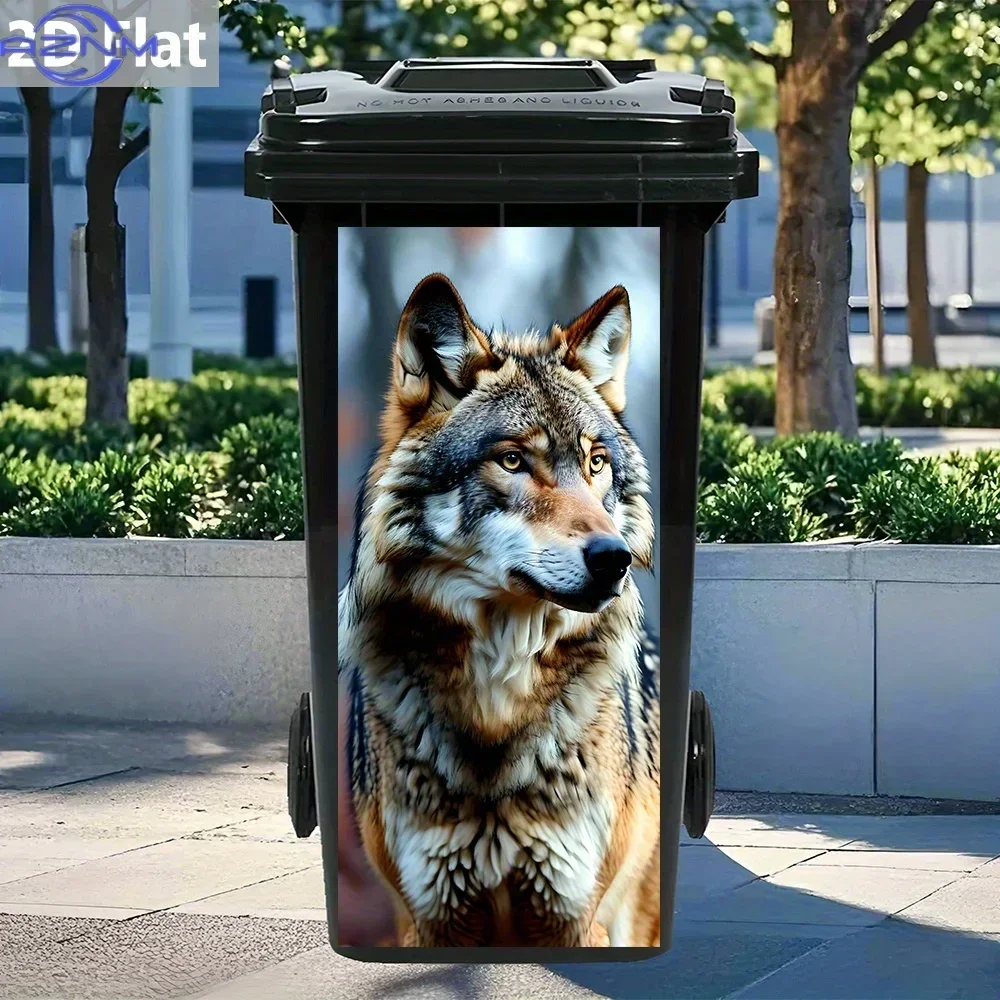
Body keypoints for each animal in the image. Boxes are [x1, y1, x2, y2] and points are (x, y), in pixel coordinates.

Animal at [338, 273, 660, 948]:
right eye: (513, 460)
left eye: (595, 463)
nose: (614, 559)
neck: (497, 701)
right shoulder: (430, 917)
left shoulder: (575, 914)